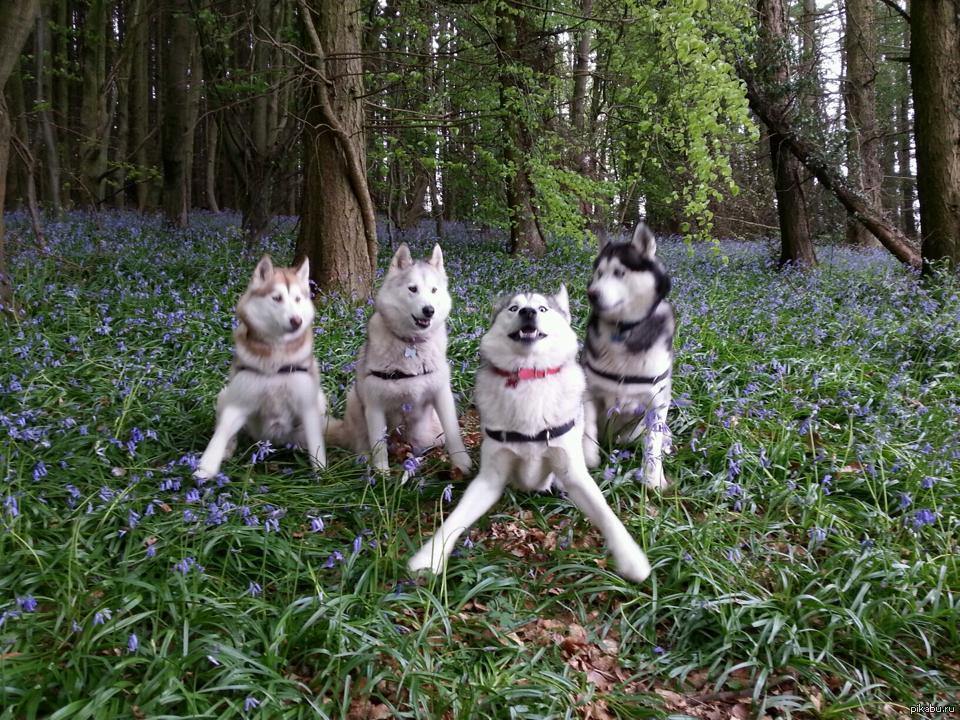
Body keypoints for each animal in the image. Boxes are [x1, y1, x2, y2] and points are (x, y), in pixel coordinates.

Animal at [197, 256, 328, 480]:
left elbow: (316, 442)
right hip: (226, 395)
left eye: (297, 299)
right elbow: (221, 432)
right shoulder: (239, 401)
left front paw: (322, 472)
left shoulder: (307, 404)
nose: (296, 320)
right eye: (277, 298)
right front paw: (206, 466)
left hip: (319, 401)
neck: (276, 357)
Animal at [324, 245, 470, 476]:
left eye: (434, 290)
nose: (429, 310)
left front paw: (462, 463)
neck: (411, 344)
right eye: (413, 289)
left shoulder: (442, 395)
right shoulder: (375, 405)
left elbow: (453, 432)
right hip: (354, 399)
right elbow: (378, 445)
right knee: (362, 442)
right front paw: (381, 475)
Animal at [406, 284, 652, 584]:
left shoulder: (573, 472)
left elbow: (606, 514)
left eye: (542, 308)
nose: (528, 312)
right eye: (514, 308)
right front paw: (428, 557)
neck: (528, 375)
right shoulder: (489, 479)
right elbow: (454, 520)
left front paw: (631, 557)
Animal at [576, 221, 676, 490]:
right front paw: (590, 456)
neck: (623, 330)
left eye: (619, 273)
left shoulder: (657, 402)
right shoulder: (589, 391)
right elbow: (588, 426)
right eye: (599, 273)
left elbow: (652, 443)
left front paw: (653, 479)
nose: (592, 293)